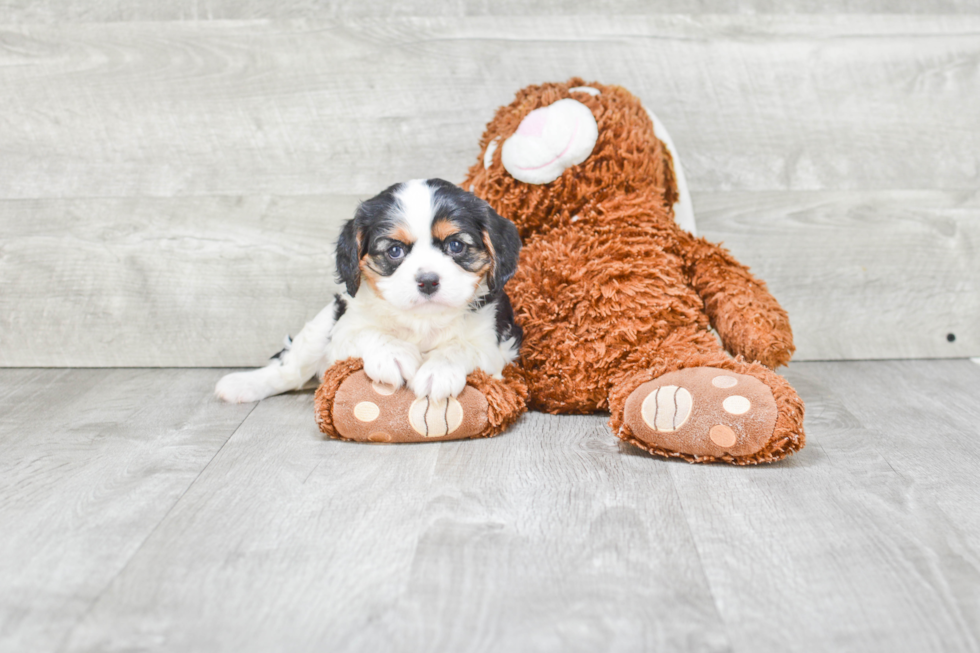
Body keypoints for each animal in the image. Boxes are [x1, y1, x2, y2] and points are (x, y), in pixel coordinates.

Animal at [212, 178, 520, 402]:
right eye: (394, 251)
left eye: (456, 246)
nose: (428, 281)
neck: (422, 320)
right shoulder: (344, 329)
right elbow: (367, 333)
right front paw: (393, 354)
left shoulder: (495, 343)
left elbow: (460, 346)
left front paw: (438, 371)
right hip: (322, 324)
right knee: (291, 369)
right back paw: (242, 384)